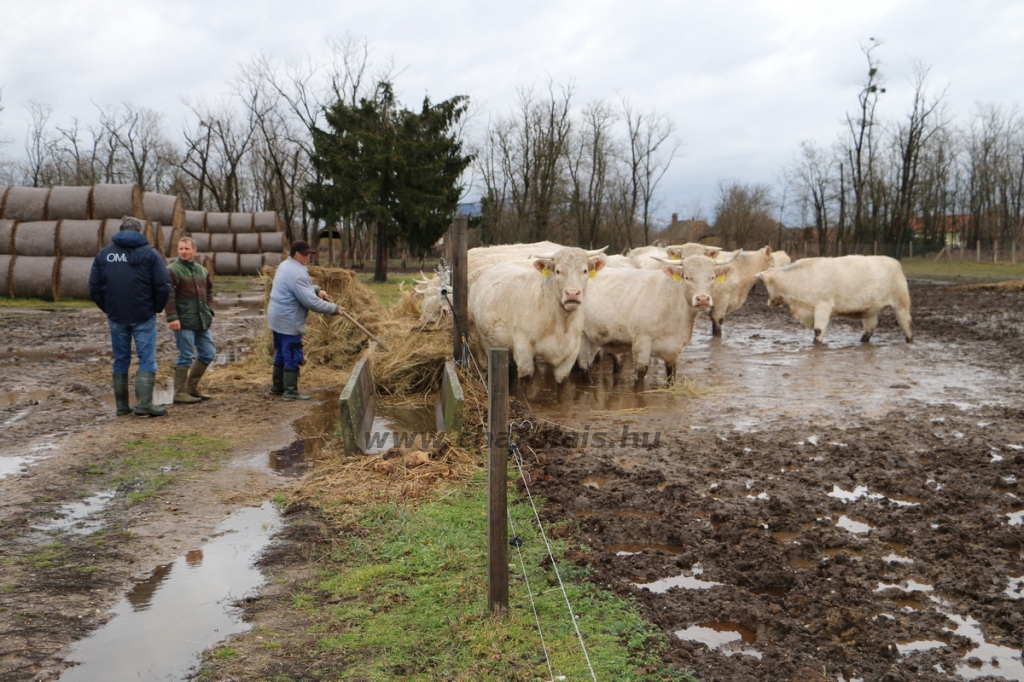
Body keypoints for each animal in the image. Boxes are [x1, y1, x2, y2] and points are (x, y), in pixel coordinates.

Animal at [471, 245, 606, 382]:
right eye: (557, 271)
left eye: (585, 270)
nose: (572, 293)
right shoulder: (523, 351)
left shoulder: (569, 357)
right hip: (481, 341)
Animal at [577, 254, 729, 378]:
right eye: (687, 277)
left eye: (712, 277)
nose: (703, 299)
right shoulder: (641, 341)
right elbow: (641, 372)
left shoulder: (674, 350)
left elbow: (671, 374)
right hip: (582, 337)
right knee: (583, 366)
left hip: (594, 338)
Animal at [757, 253, 917, 342]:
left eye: (765, 285)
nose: (768, 302)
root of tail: (893, 262)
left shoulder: (823, 306)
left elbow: (818, 331)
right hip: (870, 310)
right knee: (869, 329)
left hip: (901, 304)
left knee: (906, 324)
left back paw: (909, 340)